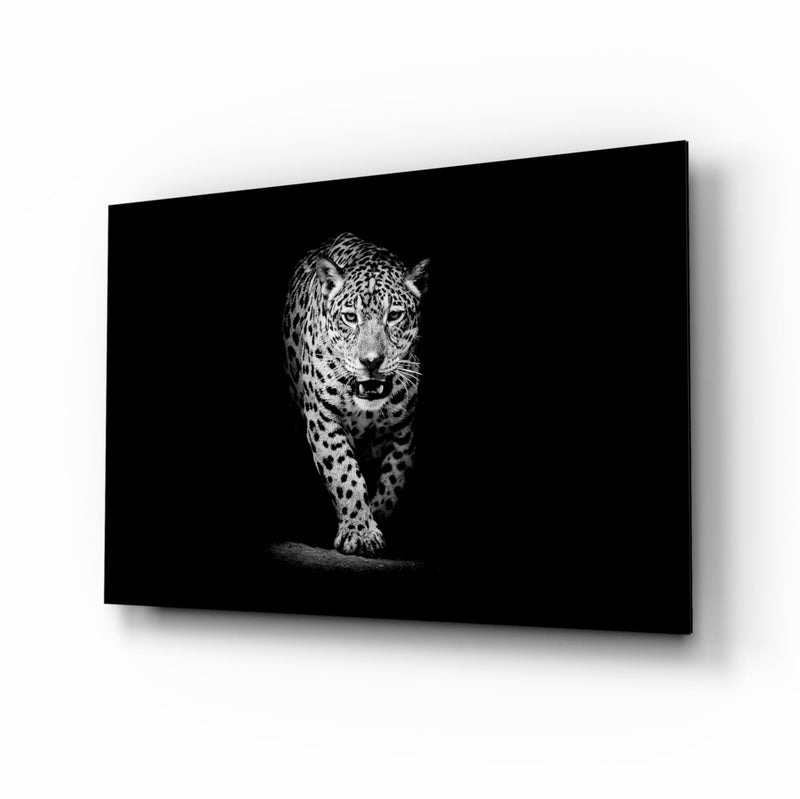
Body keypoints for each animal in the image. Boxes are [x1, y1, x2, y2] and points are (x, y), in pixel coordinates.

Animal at [282, 232, 430, 557]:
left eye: (394, 315)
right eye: (350, 317)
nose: (371, 361)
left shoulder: (404, 430)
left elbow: (393, 481)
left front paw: (374, 519)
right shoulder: (323, 418)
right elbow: (344, 473)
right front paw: (359, 531)